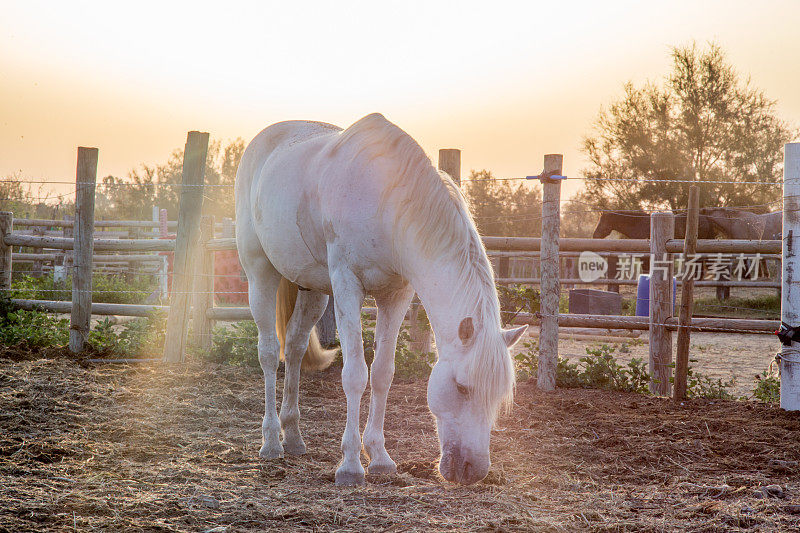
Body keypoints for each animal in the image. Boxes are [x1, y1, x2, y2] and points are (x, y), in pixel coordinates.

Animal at [234, 113, 528, 486]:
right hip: (261, 274)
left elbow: (383, 373)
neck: (386, 202)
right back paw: (272, 441)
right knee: (270, 353)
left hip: (313, 290)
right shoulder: (347, 285)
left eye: (500, 395)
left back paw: (295, 438)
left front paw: (380, 458)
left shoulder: (396, 295)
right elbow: (355, 374)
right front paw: (350, 465)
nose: (473, 471)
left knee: (296, 348)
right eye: (462, 388)